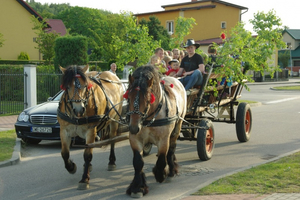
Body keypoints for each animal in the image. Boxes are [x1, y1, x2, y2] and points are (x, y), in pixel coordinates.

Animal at [123, 65, 185, 197]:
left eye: (147, 99)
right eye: (128, 98)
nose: (134, 127)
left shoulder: (163, 139)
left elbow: (162, 158)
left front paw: (160, 174)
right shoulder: (135, 139)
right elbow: (138, 162)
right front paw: (138, 187)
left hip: (177, 128)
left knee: (171, 148)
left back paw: (171, 170)